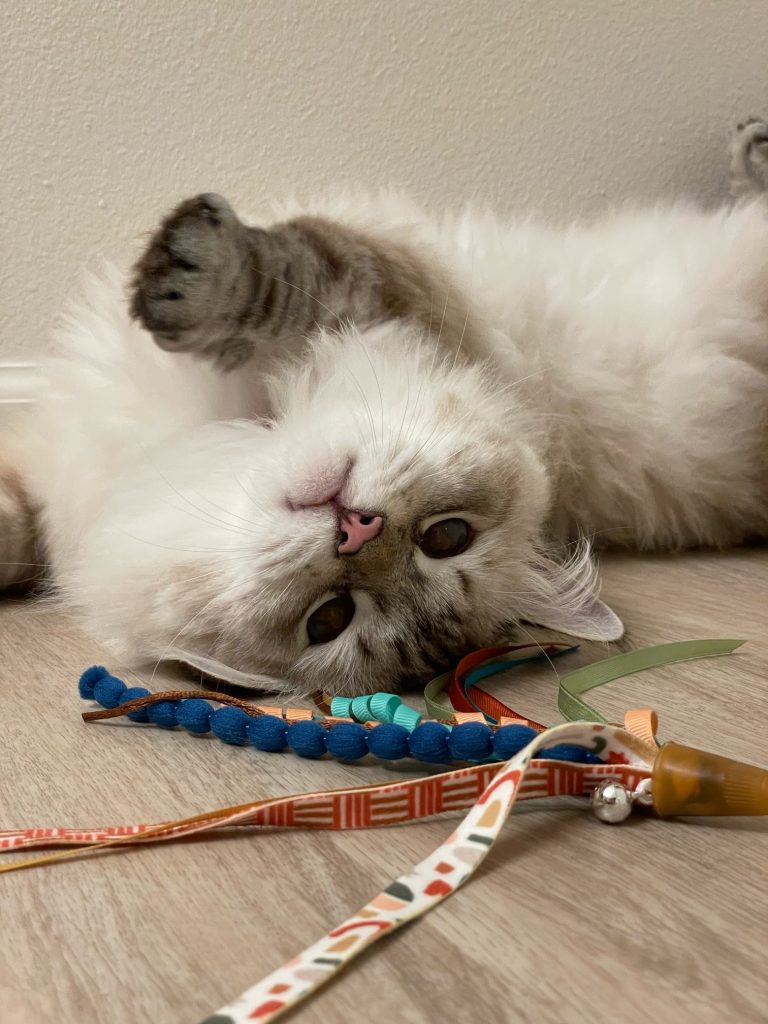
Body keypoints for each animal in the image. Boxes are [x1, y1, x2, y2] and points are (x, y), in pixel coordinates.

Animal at [1, 119, 768, 696]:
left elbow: (294, 266)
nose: (356, 530)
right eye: (448, 537)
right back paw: (749, 147)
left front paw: (189, 270)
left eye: (330, 619)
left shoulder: (395, 293)